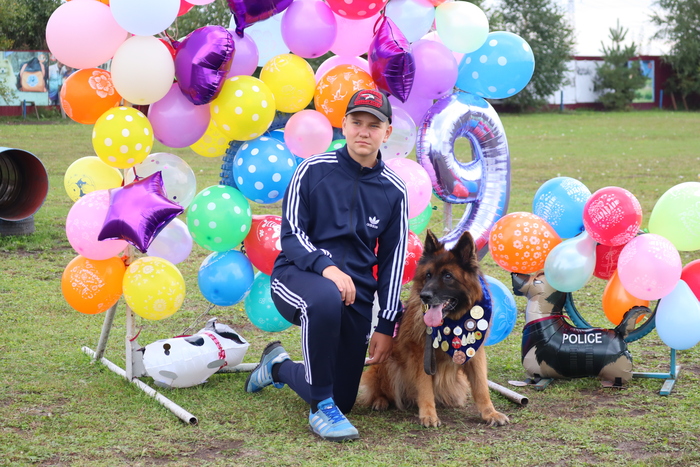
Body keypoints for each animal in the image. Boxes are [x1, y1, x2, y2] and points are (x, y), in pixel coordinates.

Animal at [359, 230, 509, 427]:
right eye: (428, 275)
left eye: (448, 276)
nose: (424, 296)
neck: (452, 324)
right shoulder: (420, 353)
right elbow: (425, 386)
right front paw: (429, 414)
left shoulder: (475, 352)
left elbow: (481, 386)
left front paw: (489, 413)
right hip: (389, 364)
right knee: (379, 388)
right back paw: (380, 400)